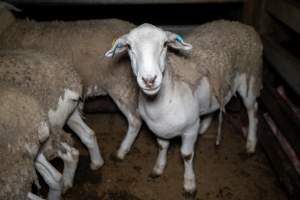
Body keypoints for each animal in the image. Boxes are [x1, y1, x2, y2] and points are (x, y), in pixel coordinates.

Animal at [105, 20, 262, 195]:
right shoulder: (159, 127)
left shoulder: (189, 129)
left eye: (165, 44)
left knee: (253, 110)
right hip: (216, 89)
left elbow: (186, 155)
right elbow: (162, 146)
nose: (149, 80)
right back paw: (204, 126)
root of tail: (240, 24)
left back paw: (250, 144)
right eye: (129, 47)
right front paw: (158, 168)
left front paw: (189, 184)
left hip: (250, 78)